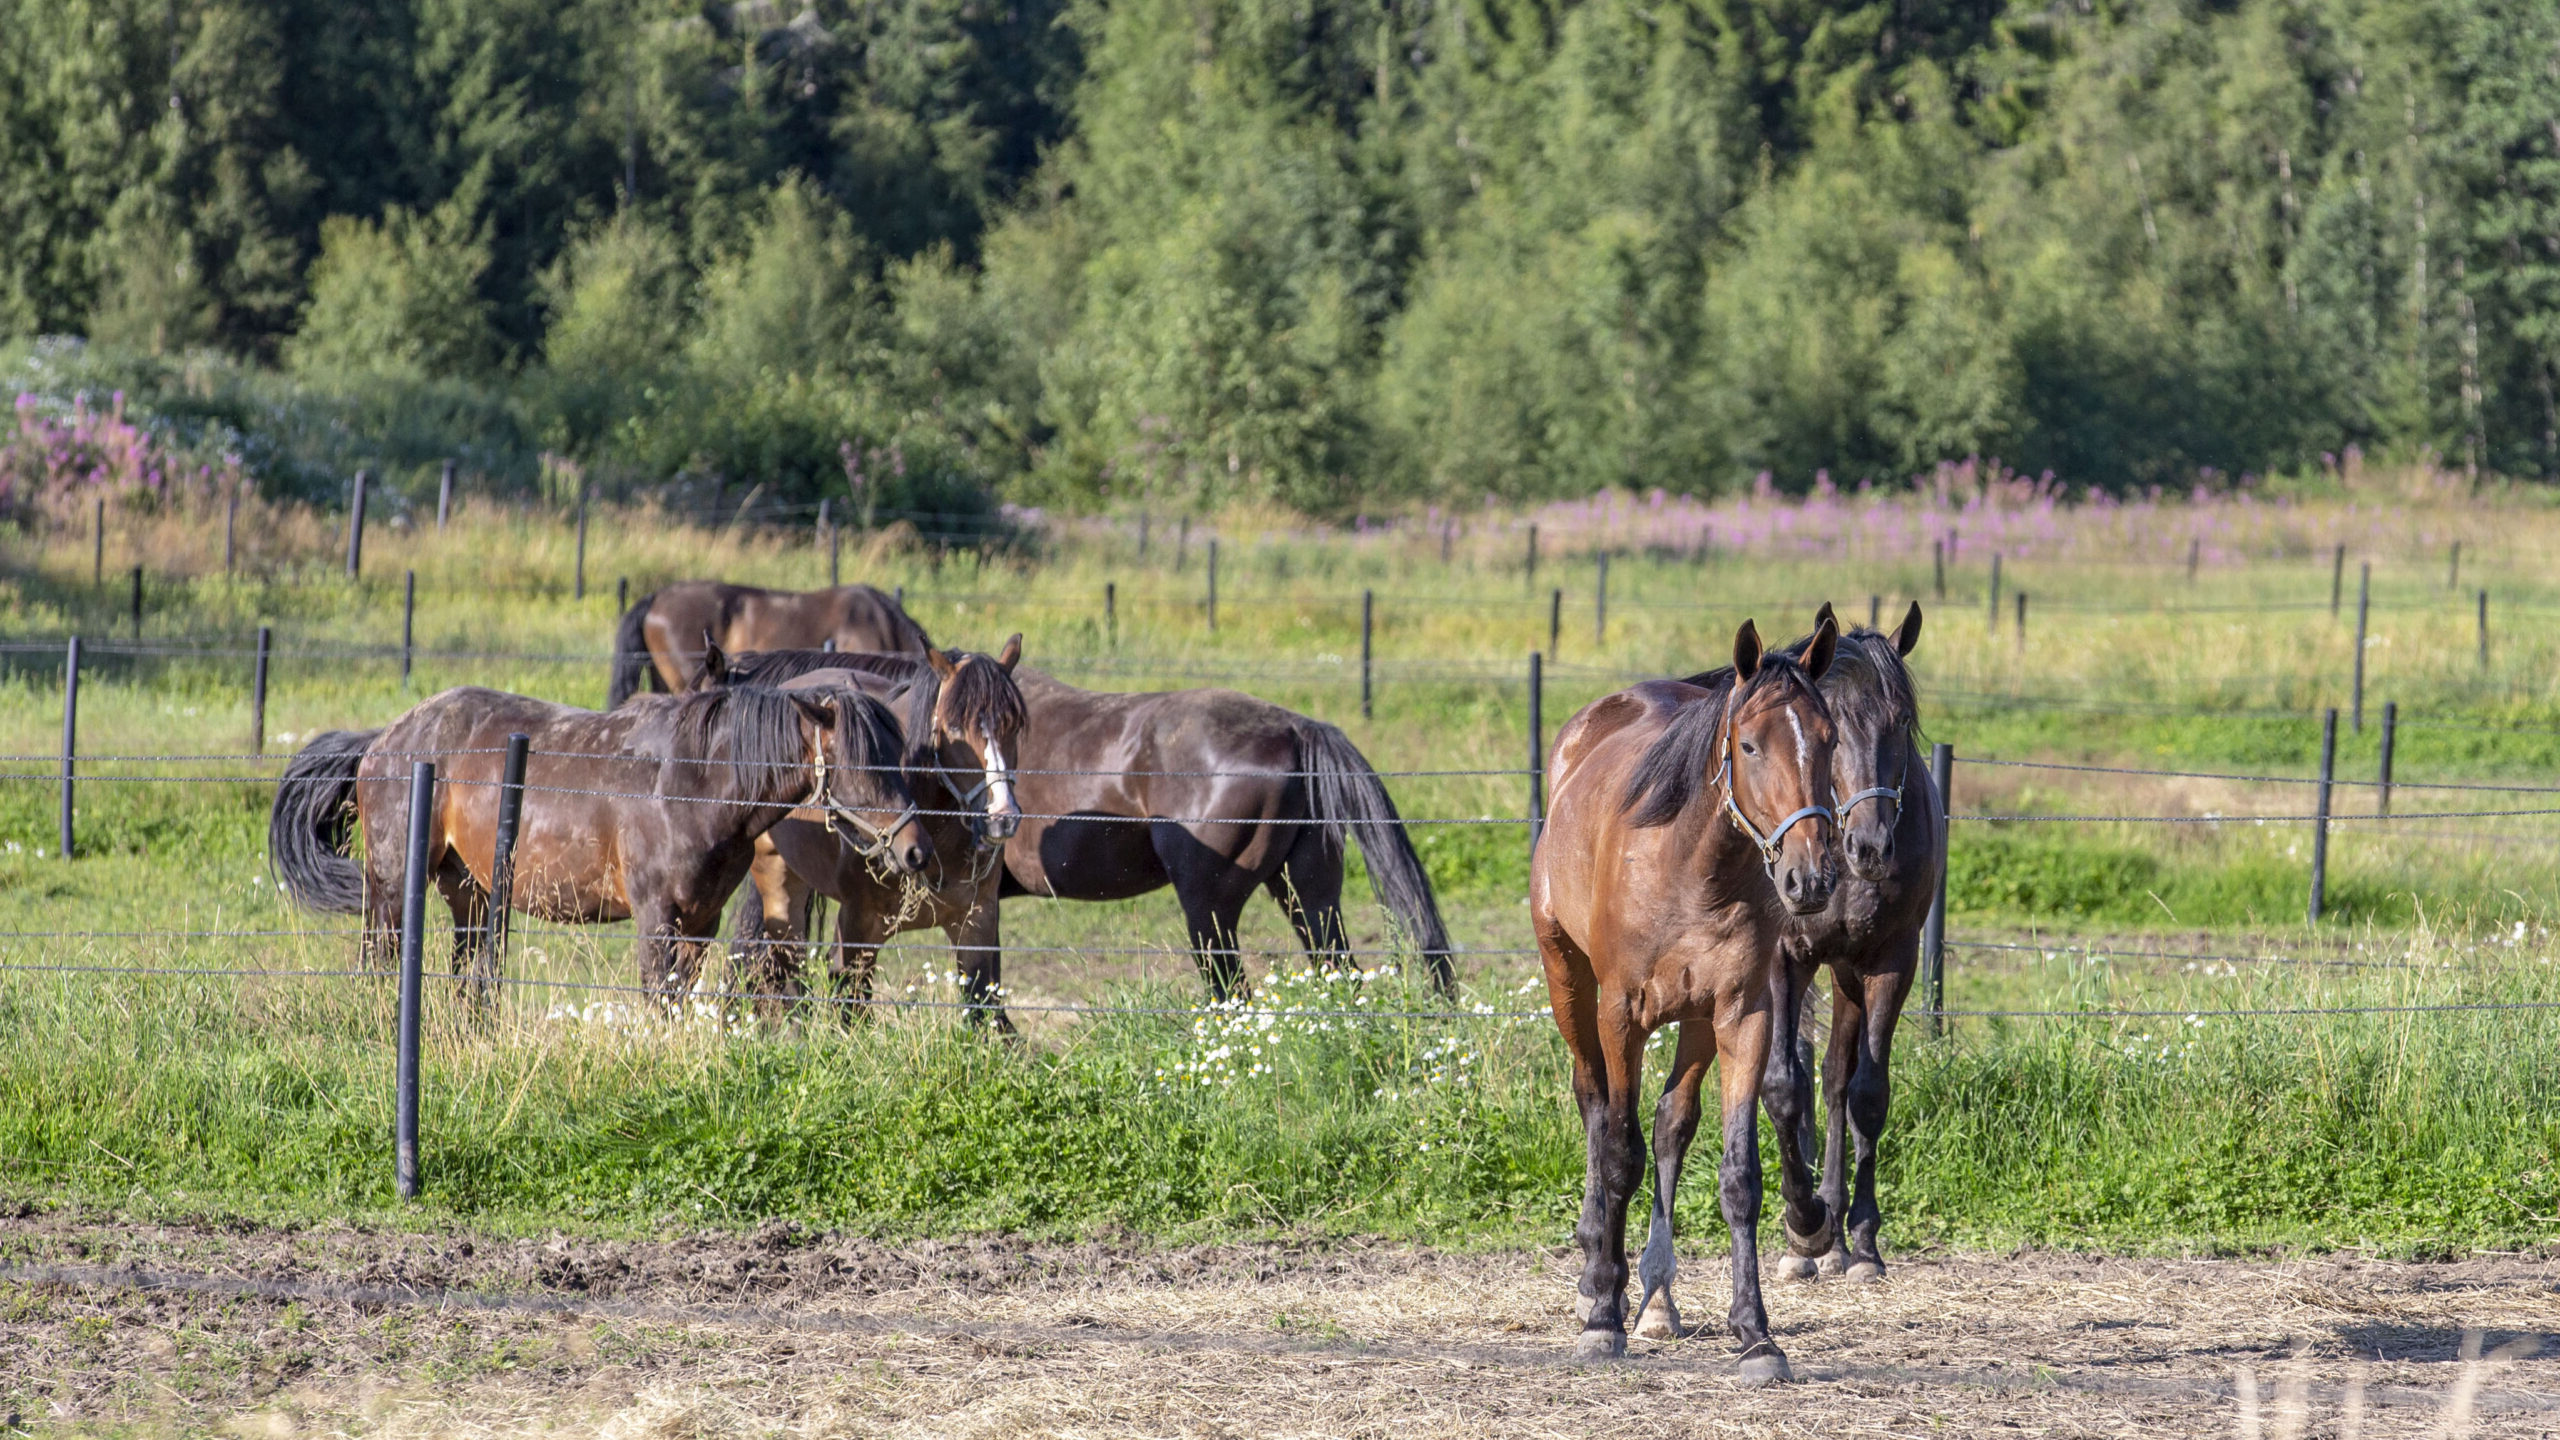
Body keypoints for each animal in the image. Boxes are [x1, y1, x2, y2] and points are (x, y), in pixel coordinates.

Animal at [270, 681, 936, 999]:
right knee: (379, 960)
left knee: (465, 971)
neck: (692, 783)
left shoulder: (701, 922)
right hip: (391, 883)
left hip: (470, 890)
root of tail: (385, 739)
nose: (915, 851)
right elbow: (654, 996)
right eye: (864, 765)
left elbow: (676, 1001)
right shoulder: (655, 917)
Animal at [706, 635, 1034, 1019]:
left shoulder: (976, 923)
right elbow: (851, 1008)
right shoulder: (860, 926)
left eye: (1013, 726)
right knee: (792, 973)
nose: (1002, 816)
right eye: (954, 728)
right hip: (781, 888)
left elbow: (984, 1011)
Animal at [1515, 609, 1843, 1373]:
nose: (1811, 878)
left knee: (1671, 1123)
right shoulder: (1620, 1015)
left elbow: (1738, 1176)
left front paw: (1755, 1333)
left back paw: (1659, 1298)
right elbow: (1618, 1153)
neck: (1690, 865)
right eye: (1749, 744)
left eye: (1829, 739)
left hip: (1694, 1021)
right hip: (1567, 981)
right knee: (1594, 1105)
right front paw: (1602, 1315)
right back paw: (1597, 1272)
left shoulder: (1743, 1013)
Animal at [1628, 597, 1925, 1332]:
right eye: (1839, 728)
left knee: (1840, 1080)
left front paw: (1860, 1238)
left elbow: (1866, 1093)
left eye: (1902, 721)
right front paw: (1803, 1224)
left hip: (1848, 973)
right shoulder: (1784, 960)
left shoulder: (1892, 958)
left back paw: (1846, 1239)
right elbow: (1783, 1086)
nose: (1869, 846)